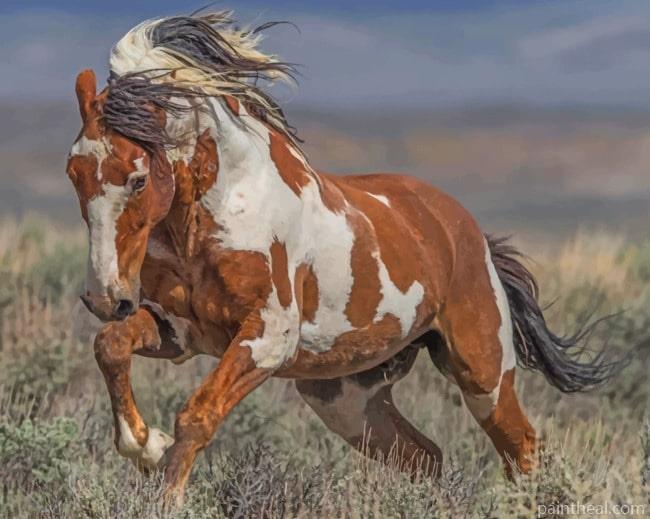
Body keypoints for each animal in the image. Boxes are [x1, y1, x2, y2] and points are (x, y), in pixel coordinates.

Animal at [66, 11, 622, 504]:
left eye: (139, 178)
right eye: (73, 173)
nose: (104, 297)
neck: (214, 212)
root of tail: (468, 232)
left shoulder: (267, 338)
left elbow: (196, 416)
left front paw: (165, 489)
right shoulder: (181, 331)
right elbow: (110, 346)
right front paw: (144, 445)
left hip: (483, 373)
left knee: (522, 449)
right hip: (347, 398)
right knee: (425, 457)